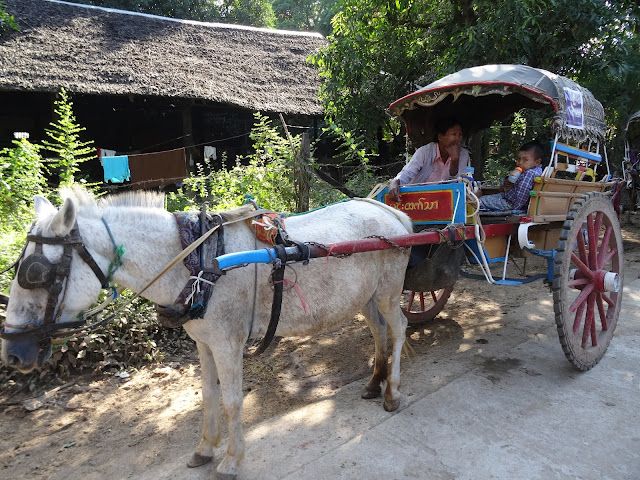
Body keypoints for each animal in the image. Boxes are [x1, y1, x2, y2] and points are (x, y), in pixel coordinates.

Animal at [2, 189, 412, 478]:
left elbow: (232, 401)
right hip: (366, 297)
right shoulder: (204, 341)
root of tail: (392, 214)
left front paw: (231, 460)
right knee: (379, 332)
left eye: (36, 273)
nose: (13, 353)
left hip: (389, 292)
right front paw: (204, 448)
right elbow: (209, 396)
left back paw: (392, 392)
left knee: (399, 329)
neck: (196, 259)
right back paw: (374, 383)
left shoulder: (228, 343)